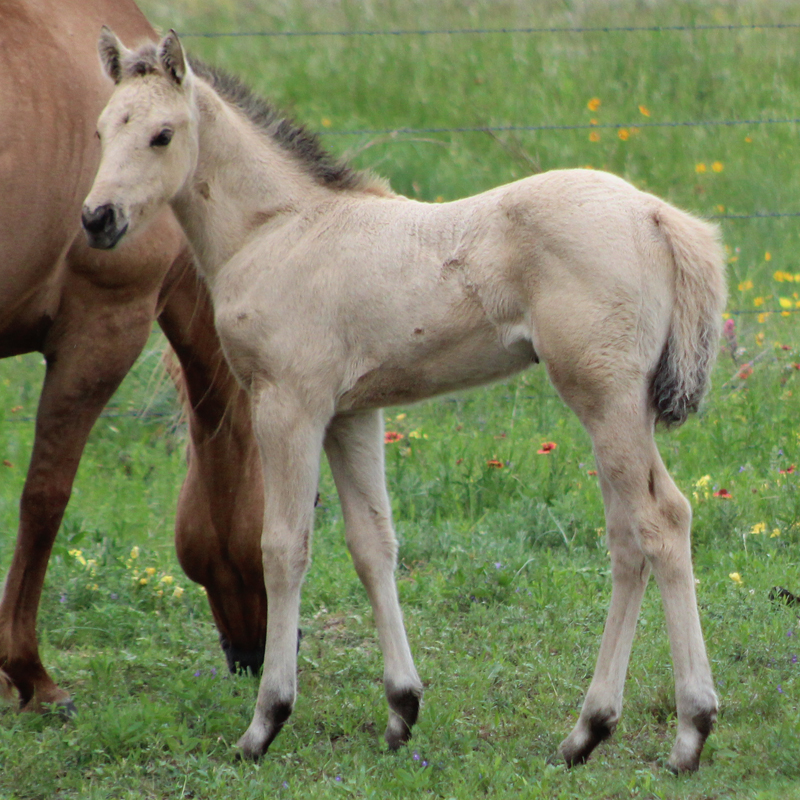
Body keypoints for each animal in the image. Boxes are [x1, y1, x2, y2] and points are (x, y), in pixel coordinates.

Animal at [82, 29, 727, 772]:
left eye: (162, 134)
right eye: (102, 130)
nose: (97, 219)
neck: (276, 230)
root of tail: (655, 213)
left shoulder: (289, 405)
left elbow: (283, 548)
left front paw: (265, 721)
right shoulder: (354, 414)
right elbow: (373, 544)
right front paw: (401, 710)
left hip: (606, 398)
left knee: (659, 522)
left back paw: (687, 731)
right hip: (618, 407)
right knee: (634, 537)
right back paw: (587, 733)